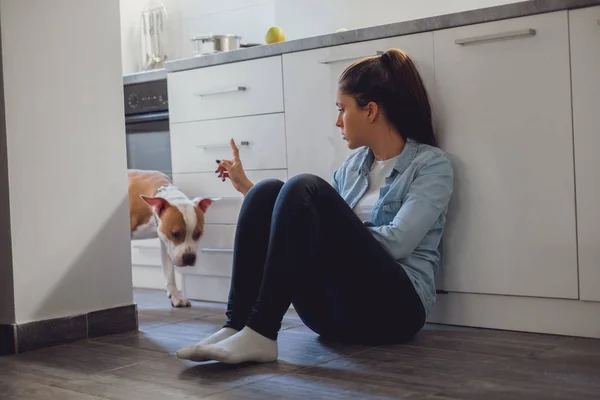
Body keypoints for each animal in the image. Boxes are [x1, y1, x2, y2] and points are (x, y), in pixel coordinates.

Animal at [127, 169, 212, 306]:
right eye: (175, 234)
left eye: (198, 234)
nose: (189, 258)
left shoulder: (166, 242)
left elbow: (169, 272)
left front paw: (175, 296)